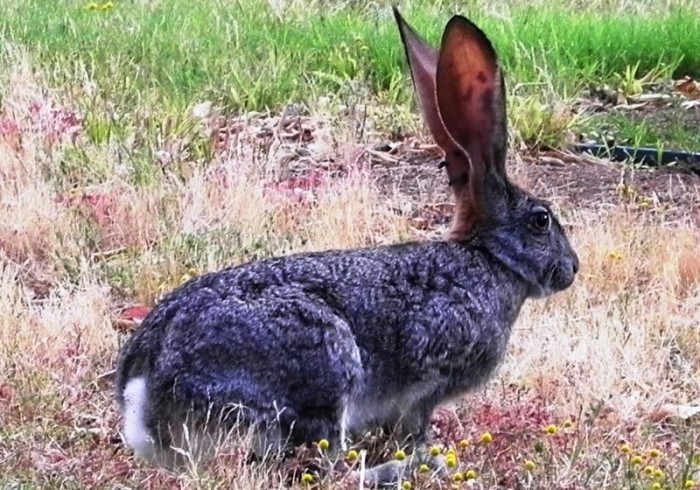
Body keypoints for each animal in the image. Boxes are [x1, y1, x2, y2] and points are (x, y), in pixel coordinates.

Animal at [114, 6, 579, 483]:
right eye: (541, 221)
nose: (572, 269)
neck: (488, 259)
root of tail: (144, 399)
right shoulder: (427, 382)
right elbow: (415, 422)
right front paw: (426, 452)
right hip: (323, 370)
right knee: (323, 465)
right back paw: (400, 469)